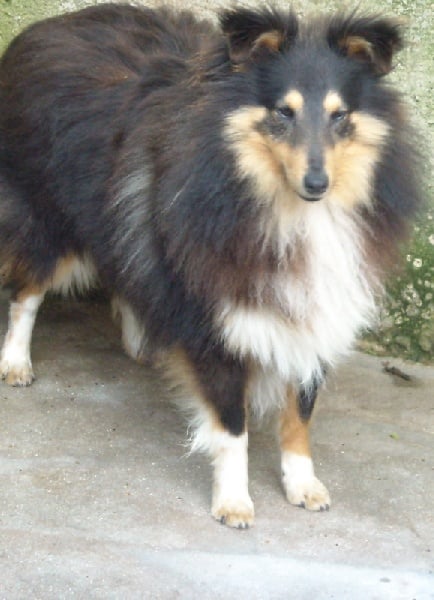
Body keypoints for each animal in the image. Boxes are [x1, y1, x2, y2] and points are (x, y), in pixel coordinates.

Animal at [0, 4, 422, 528]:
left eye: (339, 115)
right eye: (283, 112)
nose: (317, 183)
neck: (285, 211)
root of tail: (42, 28)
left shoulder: (319, 311)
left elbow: (300, 412)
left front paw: (303, 484)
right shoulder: (216, 320)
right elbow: (231, 424)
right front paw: (234, 501)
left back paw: (142, 341)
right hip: (48, 220)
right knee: (27, 292)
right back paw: (16, 362)